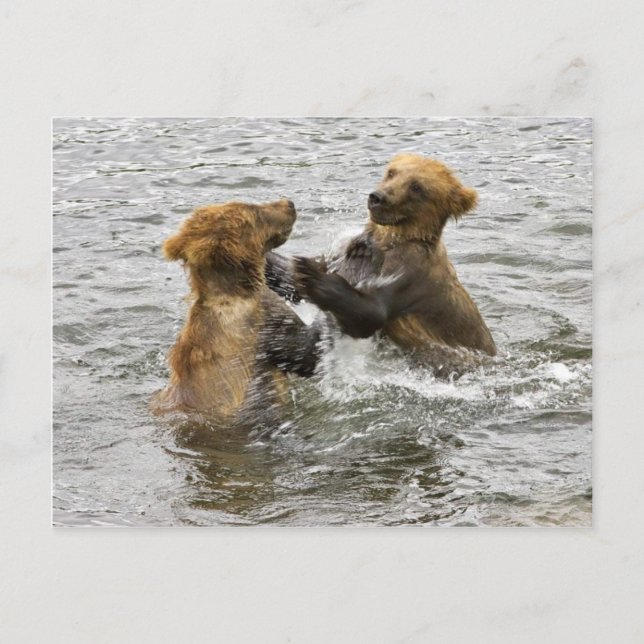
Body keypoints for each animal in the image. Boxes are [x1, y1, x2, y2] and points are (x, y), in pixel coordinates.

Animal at [266, 154, 495, 375]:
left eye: (416, 186)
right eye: (392, 172)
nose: (378, 198)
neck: (389, 239)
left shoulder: (410, 272)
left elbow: (370, 313)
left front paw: (310, 273)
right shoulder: (349, 254)